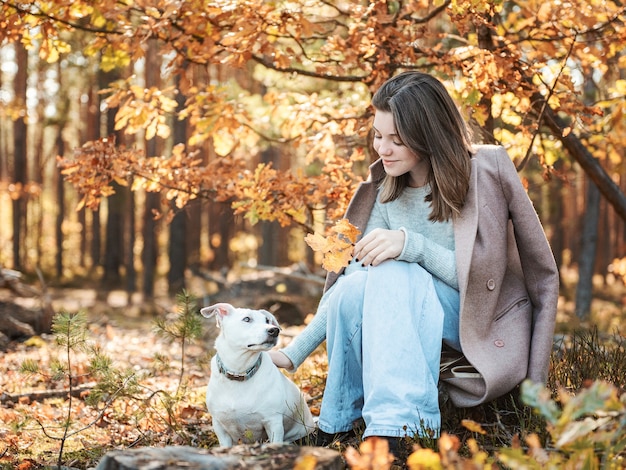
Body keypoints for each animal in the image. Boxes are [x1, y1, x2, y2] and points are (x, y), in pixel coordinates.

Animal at [201, 302, 314, 446]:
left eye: (267, 321)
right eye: (247, 319)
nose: (274, 330)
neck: (239, 372)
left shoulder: (273, 422)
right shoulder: (219, 426)